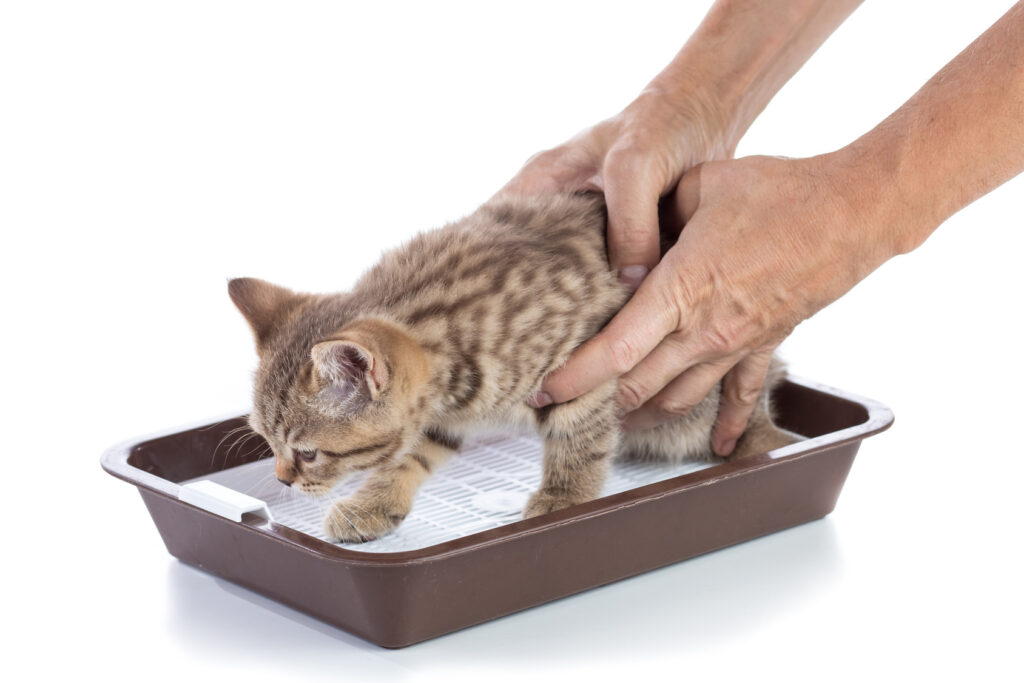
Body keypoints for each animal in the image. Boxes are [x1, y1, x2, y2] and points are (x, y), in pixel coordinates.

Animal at [230, 192, 790, 544]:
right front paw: (373, 504)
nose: (281, 481)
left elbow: (579, 443)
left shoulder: (582, 370)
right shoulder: (441, 415)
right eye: (270, 445)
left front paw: (565, 500)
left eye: (307, 454)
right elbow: (407, 456)